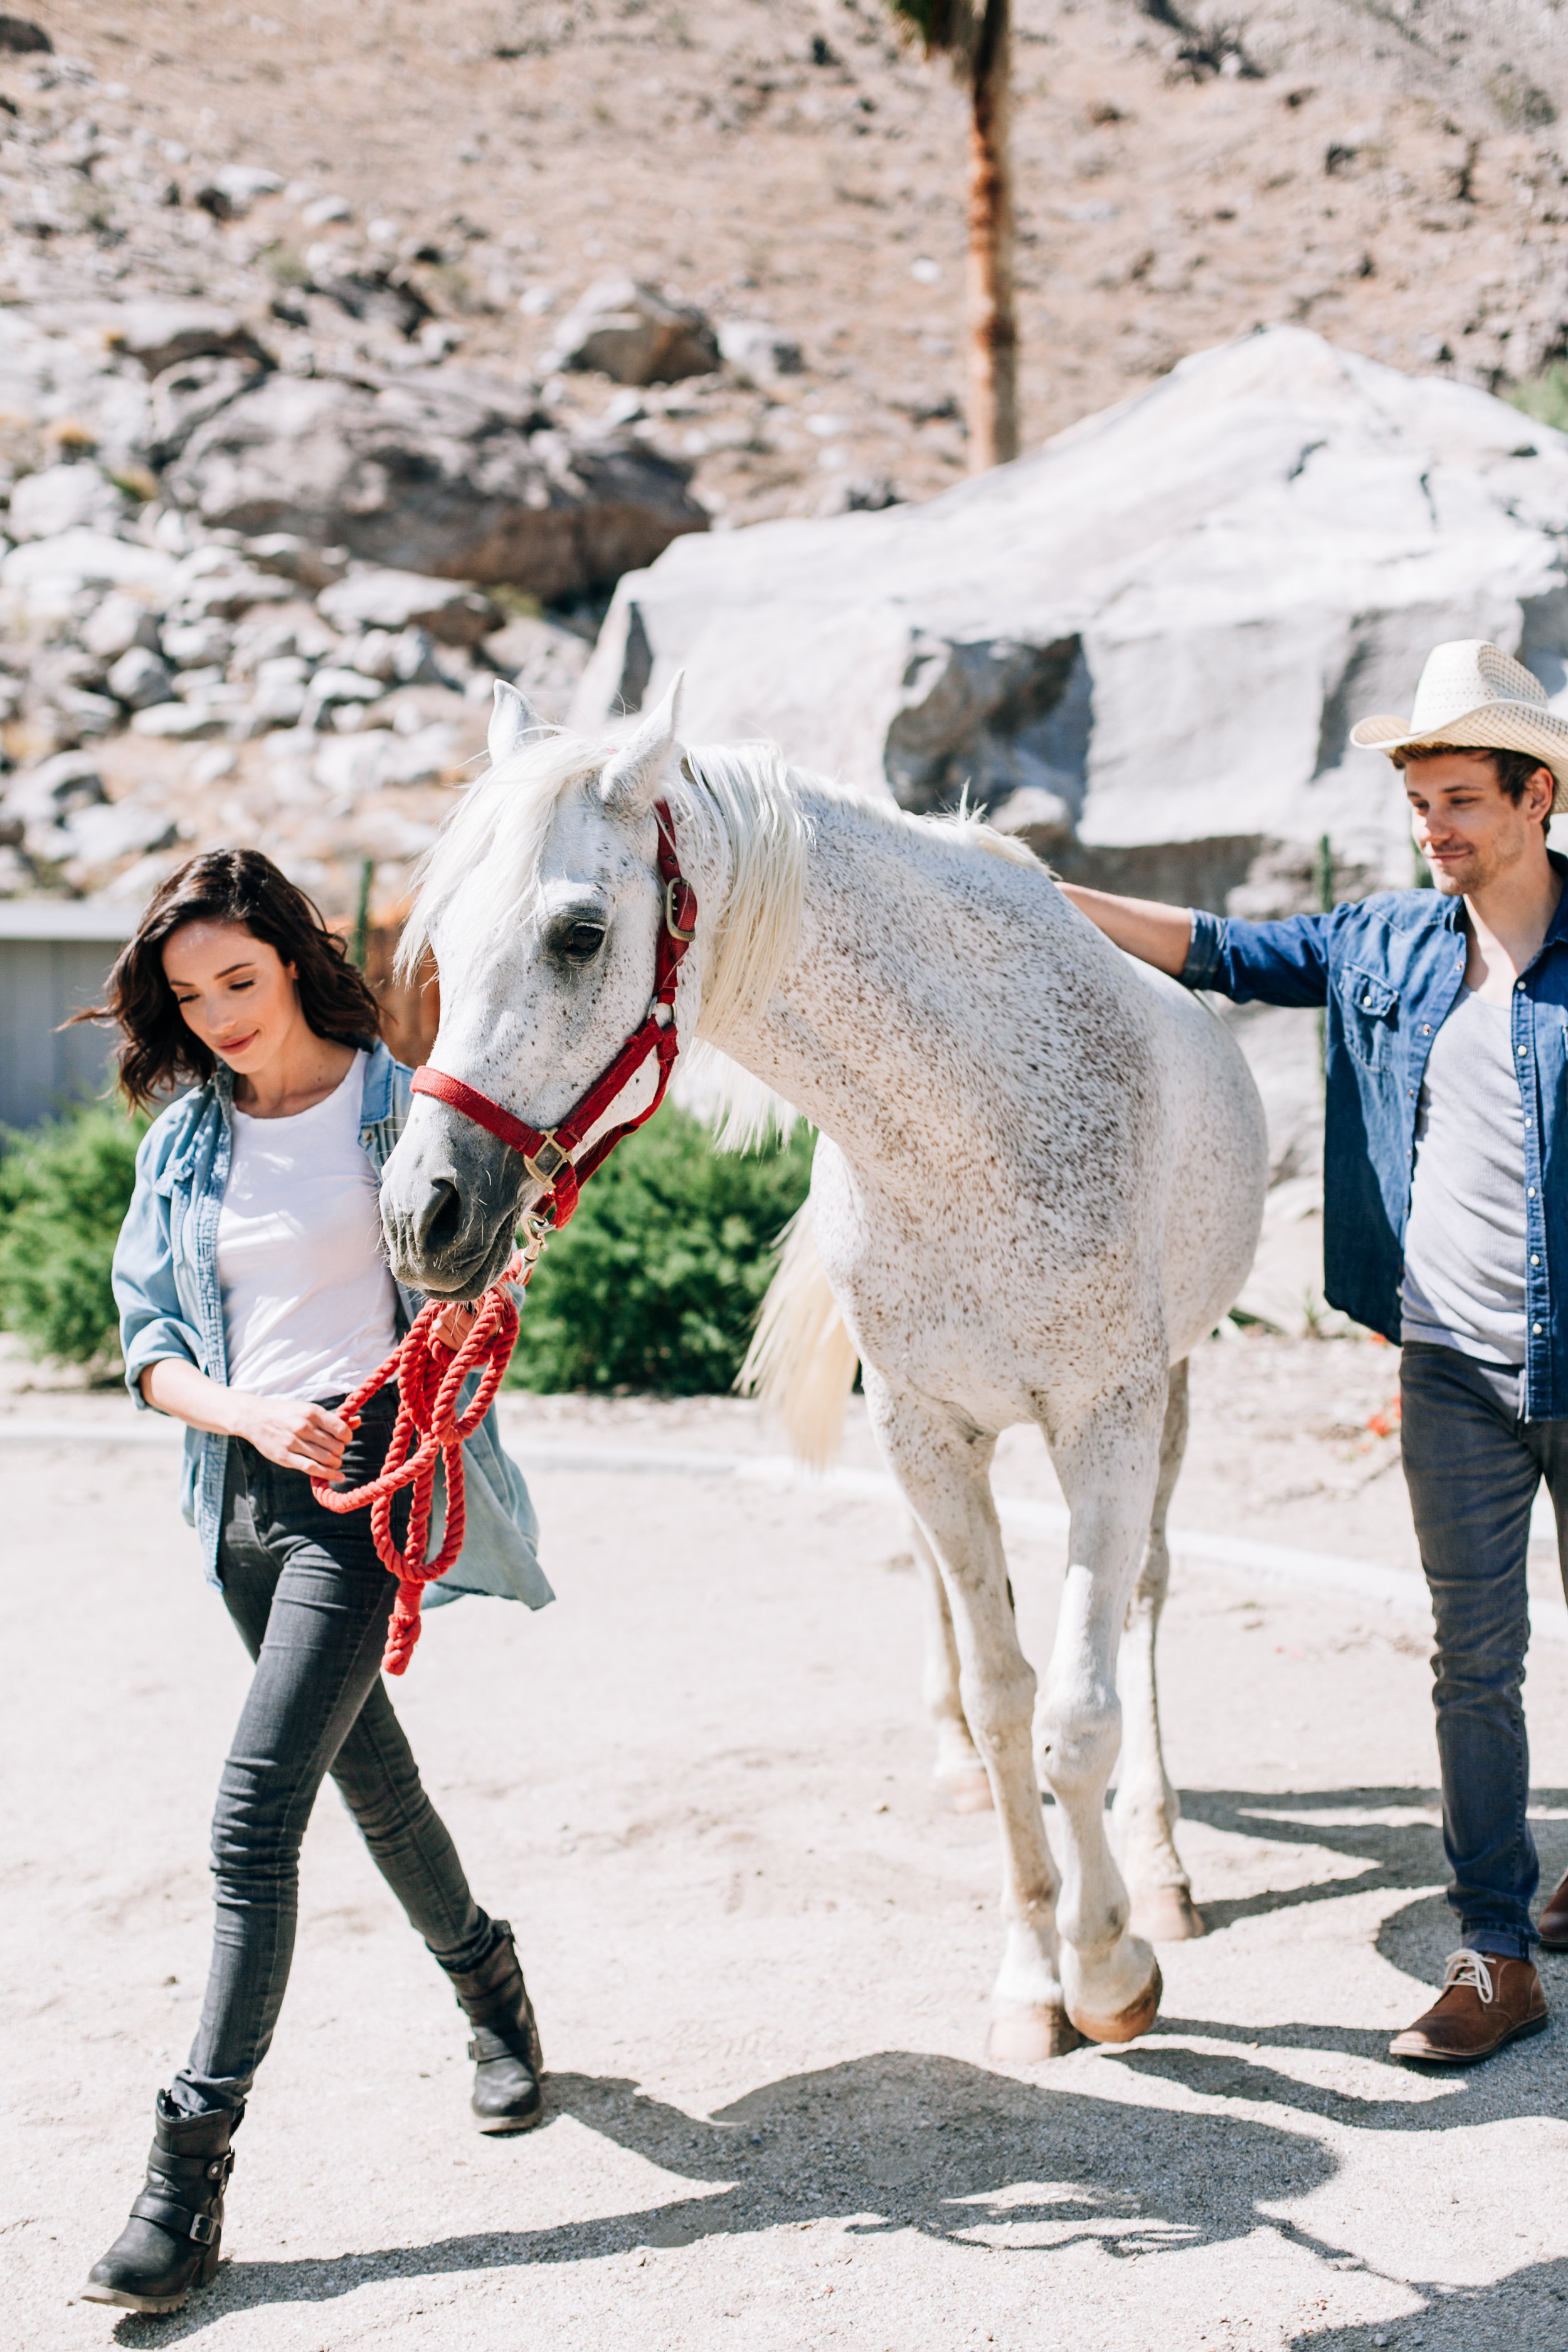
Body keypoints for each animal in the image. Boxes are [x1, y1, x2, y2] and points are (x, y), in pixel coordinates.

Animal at [383, 682, 1278, 2060]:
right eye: (440, 939)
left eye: (579, 936)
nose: (421, 1212)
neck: (970, 1118)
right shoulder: (924, 1427)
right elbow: (1007, 1700)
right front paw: (1032, 1976)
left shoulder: (1108, 1420)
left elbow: (1079, 1715)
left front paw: (1110, 1963)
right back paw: (959, 1763)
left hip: (1167, 1396)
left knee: (1147, 1598)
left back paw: (1164, 1864)